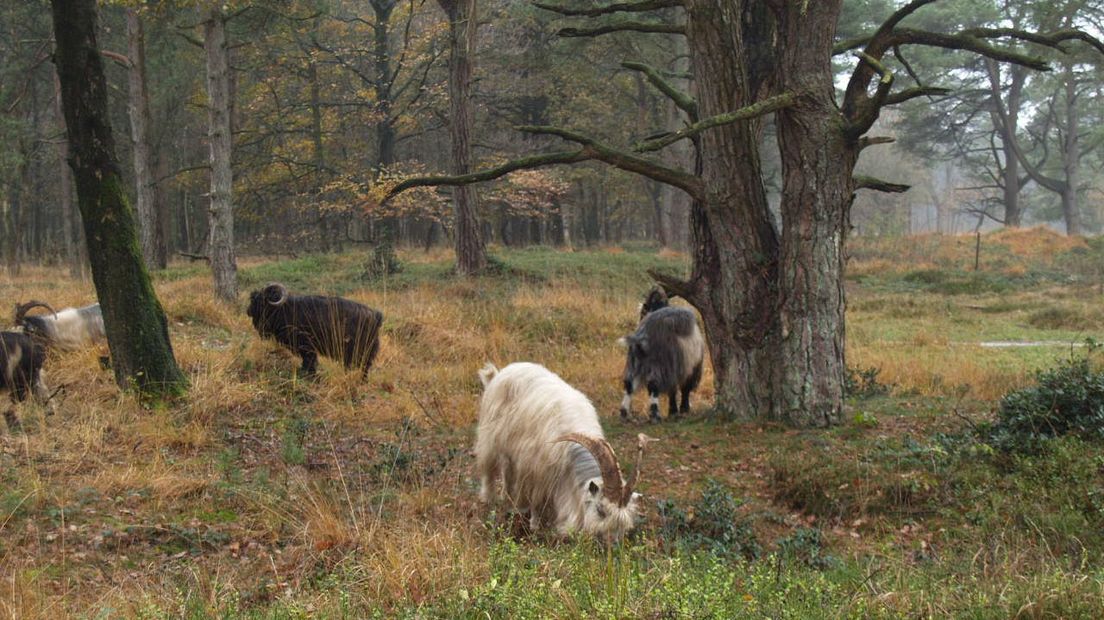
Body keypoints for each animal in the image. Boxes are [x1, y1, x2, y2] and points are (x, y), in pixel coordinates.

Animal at [248, 281, 386, 377]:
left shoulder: (307, 347)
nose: (248, 311)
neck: (284, 309)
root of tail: (376, 316)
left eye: (261, 300)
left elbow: (309, 362)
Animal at [476, 359, 653, 538]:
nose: (612, 542)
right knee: (489, 469)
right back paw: (489, 499)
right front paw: (534, 525)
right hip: (490, 437)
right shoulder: (536, 469)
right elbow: (536, 500)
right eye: (600, 510)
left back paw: (508, 498)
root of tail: (500, 373)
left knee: (507, 470)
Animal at [618, 286, 702, 421]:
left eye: (643, 312)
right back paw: (655, 415)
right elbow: (683, 389)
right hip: (660, 365)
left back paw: (624, 413)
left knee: (629, 384)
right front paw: (681, 409)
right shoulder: (688, 368)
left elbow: (673, 390)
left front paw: (673, 410)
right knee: (653, 385)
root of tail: (642, 337)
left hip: (633, 362)